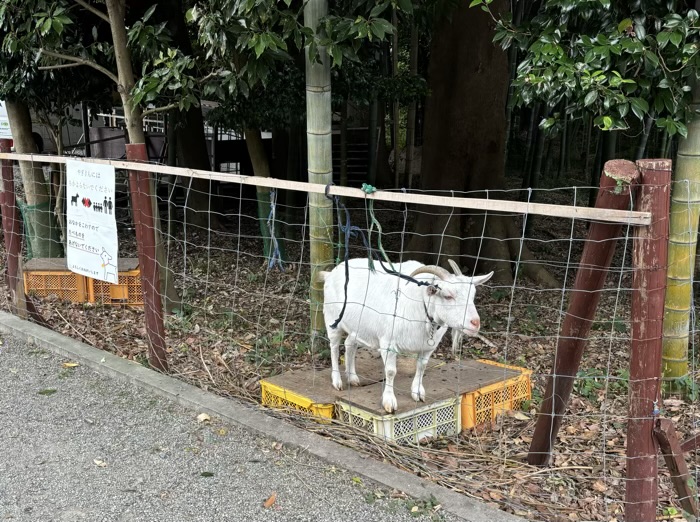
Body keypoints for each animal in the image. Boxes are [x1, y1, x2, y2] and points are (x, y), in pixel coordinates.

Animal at [318, 258, 492, 412]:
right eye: (448, 296)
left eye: (473, 295)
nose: (475, 323)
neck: (422, 304)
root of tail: (331, 273)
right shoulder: (388, 343)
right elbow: (390, 371)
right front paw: (389, 401)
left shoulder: (428, 347)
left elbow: (421, 366)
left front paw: (418, 393)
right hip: (333, 320)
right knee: (334, 348)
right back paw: (337, 381)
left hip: (359, 327)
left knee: (349, 344)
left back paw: (352, 377)